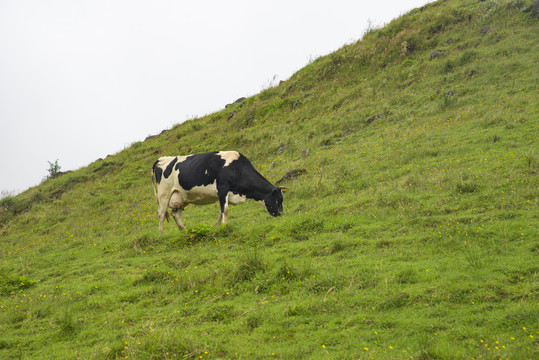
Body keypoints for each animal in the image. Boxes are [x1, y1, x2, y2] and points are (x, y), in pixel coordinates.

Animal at [152, 151, 284, 233]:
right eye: (278, 200)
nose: (281, 214)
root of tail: (163, 158)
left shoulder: (225, 194)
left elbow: (221, 211)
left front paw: (217, 226)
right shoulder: (222, 188)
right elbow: (225, 210)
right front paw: (224, 227)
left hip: (181, 196)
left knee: (176, 214)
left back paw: (184, 231)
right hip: (164, 193)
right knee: (161, 213)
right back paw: (161, 234)